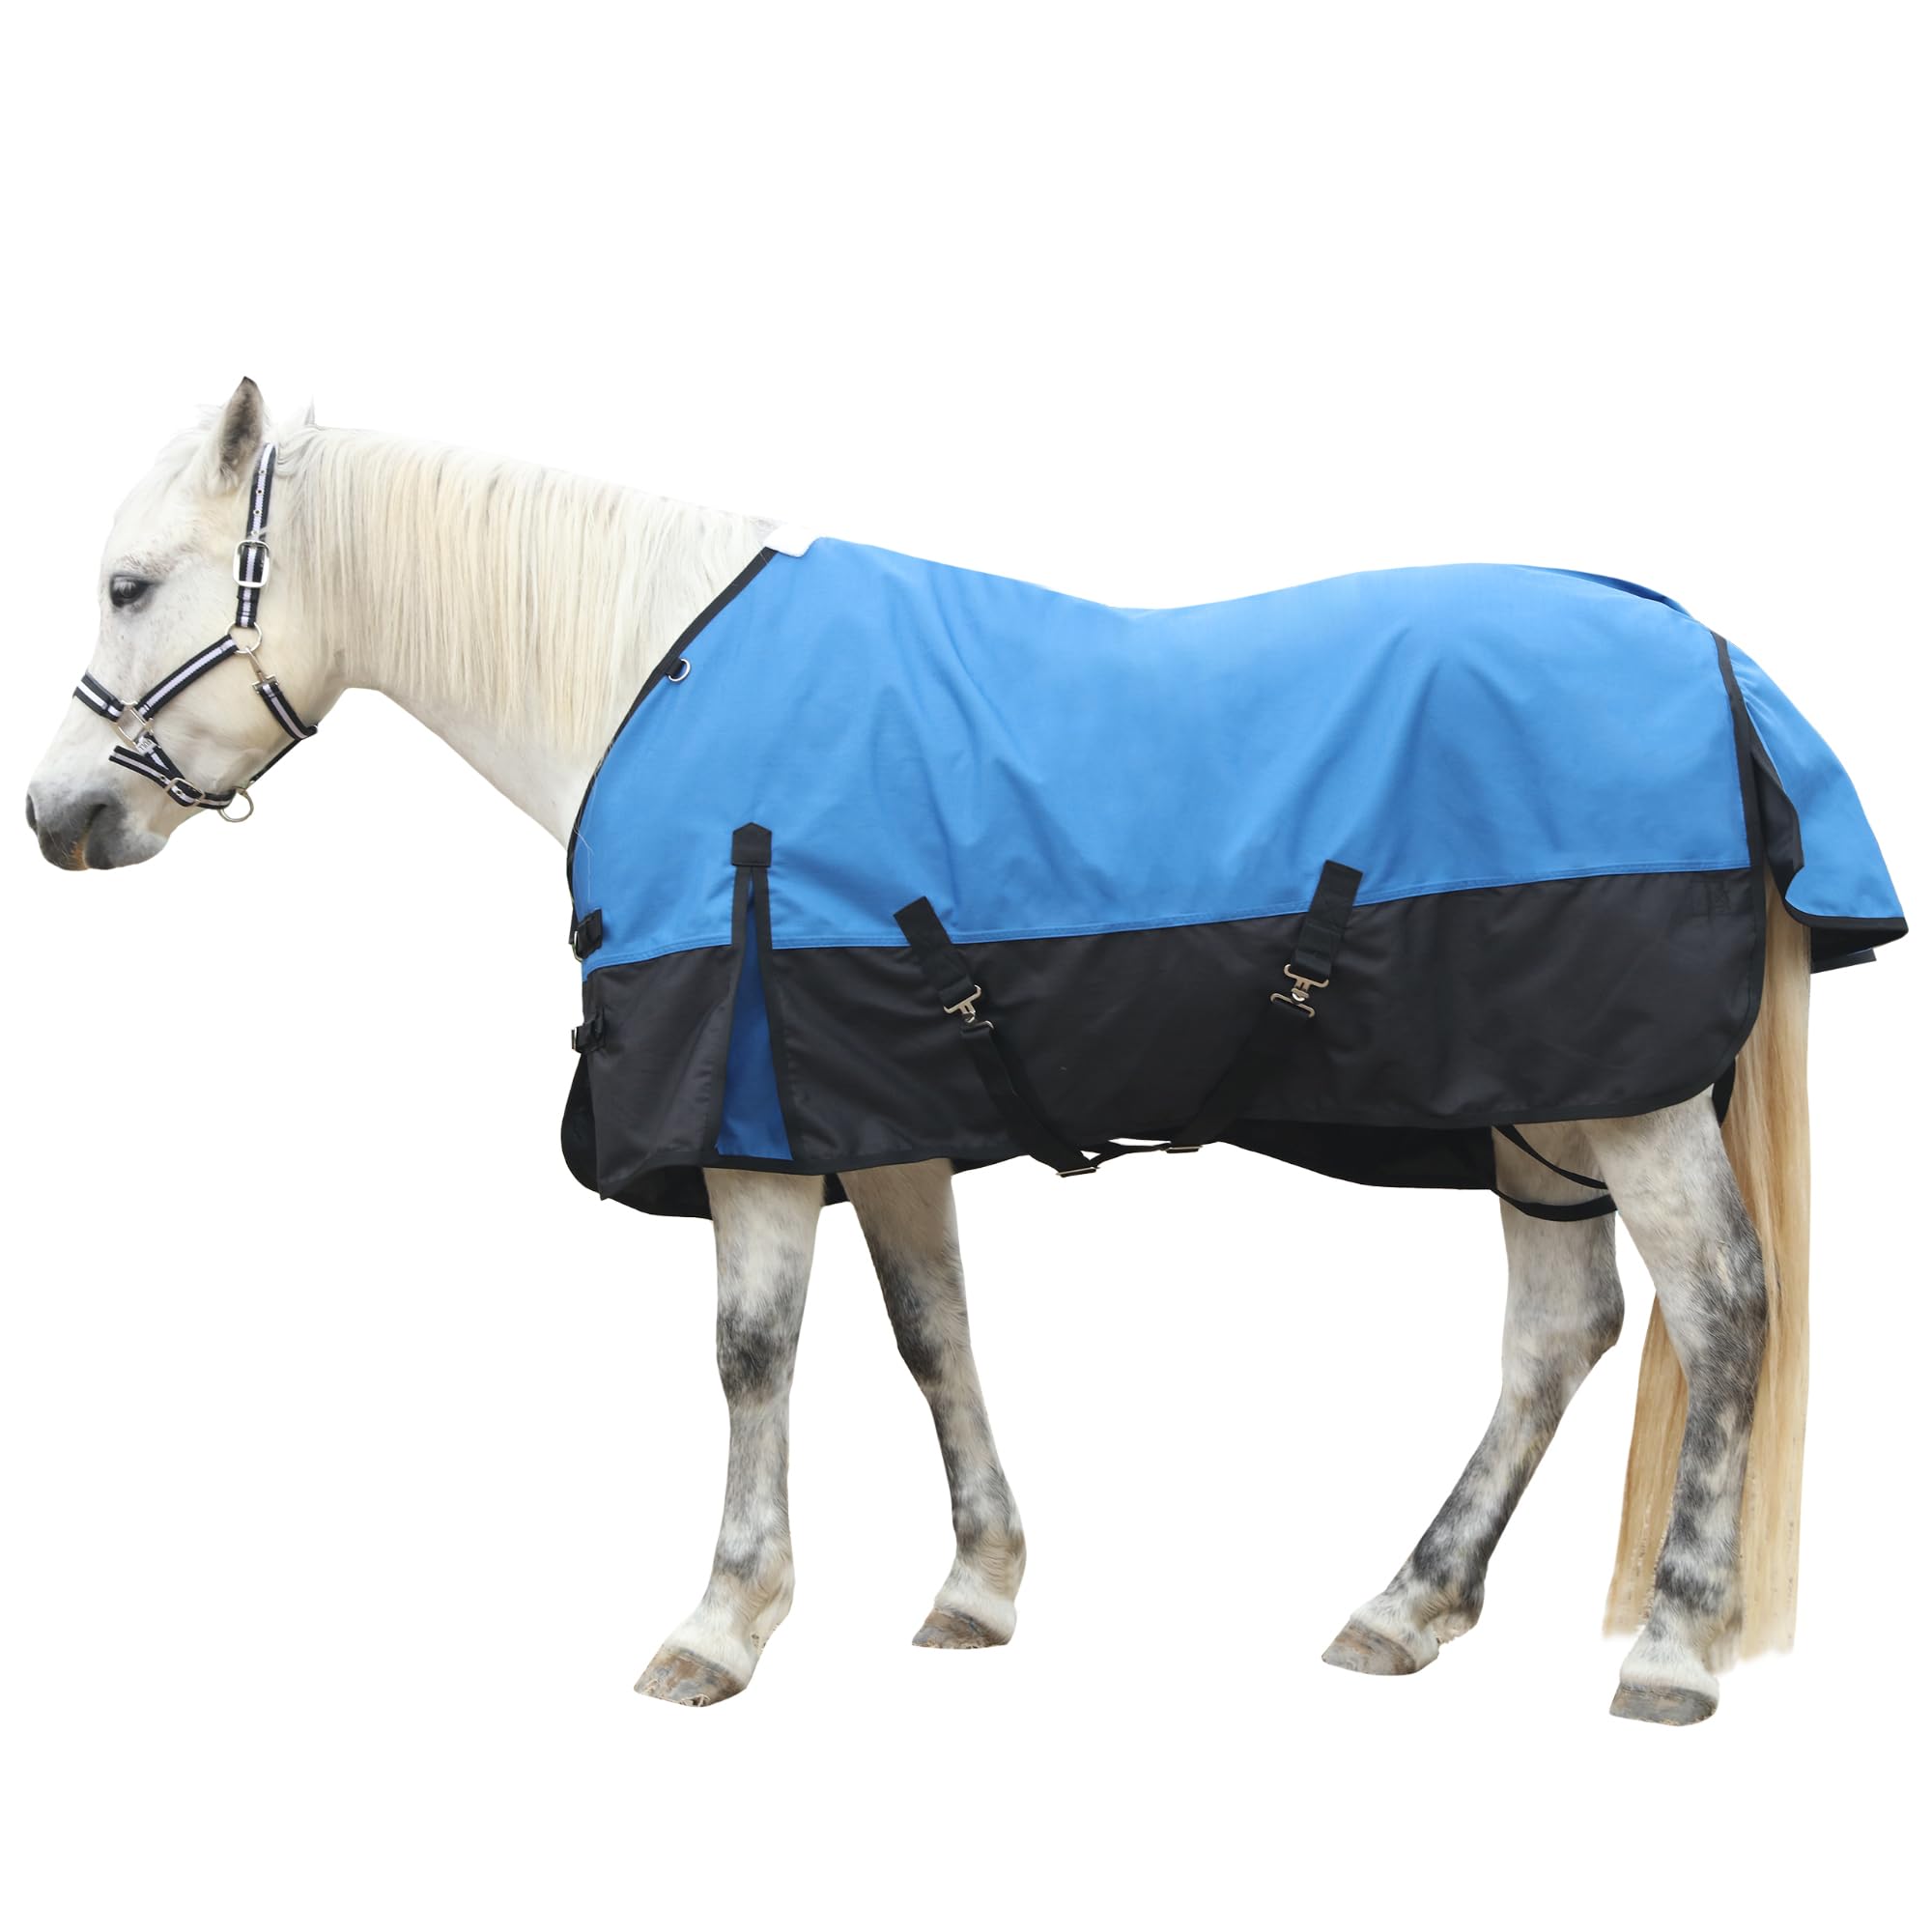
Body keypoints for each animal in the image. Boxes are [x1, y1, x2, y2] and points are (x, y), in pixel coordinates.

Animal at [28, 378, 1891, 1725]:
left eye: (129, 586)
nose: (57, 818)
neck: (652, 674)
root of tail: (1722, 670)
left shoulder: (757, 1115)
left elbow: (752, 1354)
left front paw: (723, 1622)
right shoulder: (876, 1104)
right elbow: (932, 1333)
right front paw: (978, 1589)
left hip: (1623, 1100)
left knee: (1725, 1310)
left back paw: (1670, 1651)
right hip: (1535, 1105)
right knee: (1560, 1332)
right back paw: (1405, 1606)